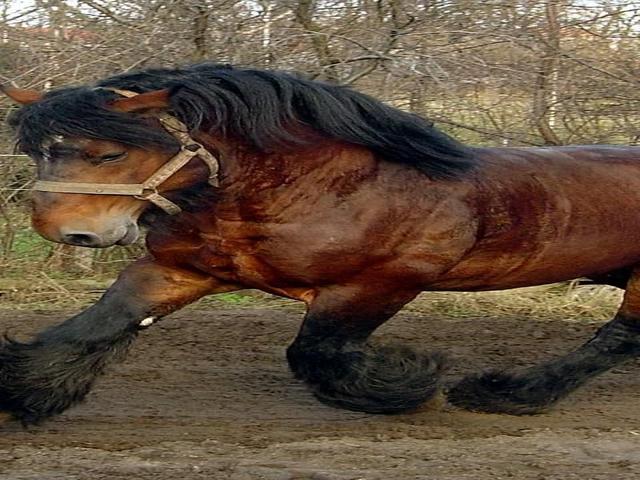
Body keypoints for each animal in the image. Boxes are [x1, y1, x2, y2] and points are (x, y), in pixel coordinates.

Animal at [1, 63, 640, 426]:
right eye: (36, 151)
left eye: (108, 153)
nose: (65, 231)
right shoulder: (178, 268)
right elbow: (94, 328)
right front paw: (25, 396)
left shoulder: (381, 281)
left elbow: (315, 354)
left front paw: (412, 381)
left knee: (615, 341)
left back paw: (505, 393)